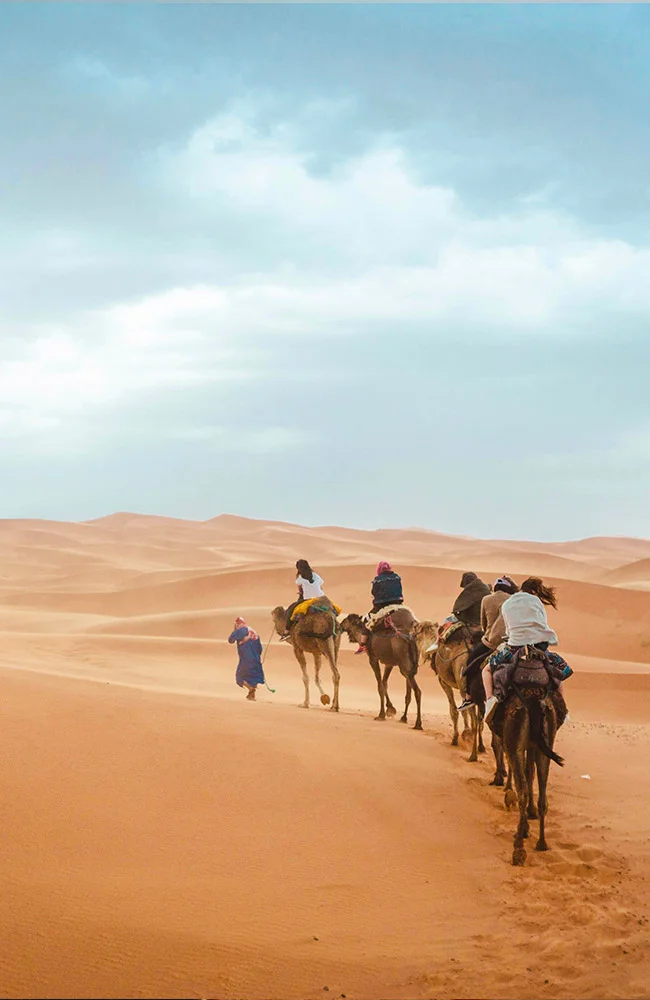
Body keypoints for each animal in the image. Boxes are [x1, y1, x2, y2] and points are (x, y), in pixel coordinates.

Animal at [412, 620, 484, 760]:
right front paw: (471, 738)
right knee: (482, 718)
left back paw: (473, 756)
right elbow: (464, 711)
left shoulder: (444, 682)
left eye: (417, 630)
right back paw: (479, 748)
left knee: (475, 719)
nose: (413, 626)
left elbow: (454, 711)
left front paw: (457, 738)